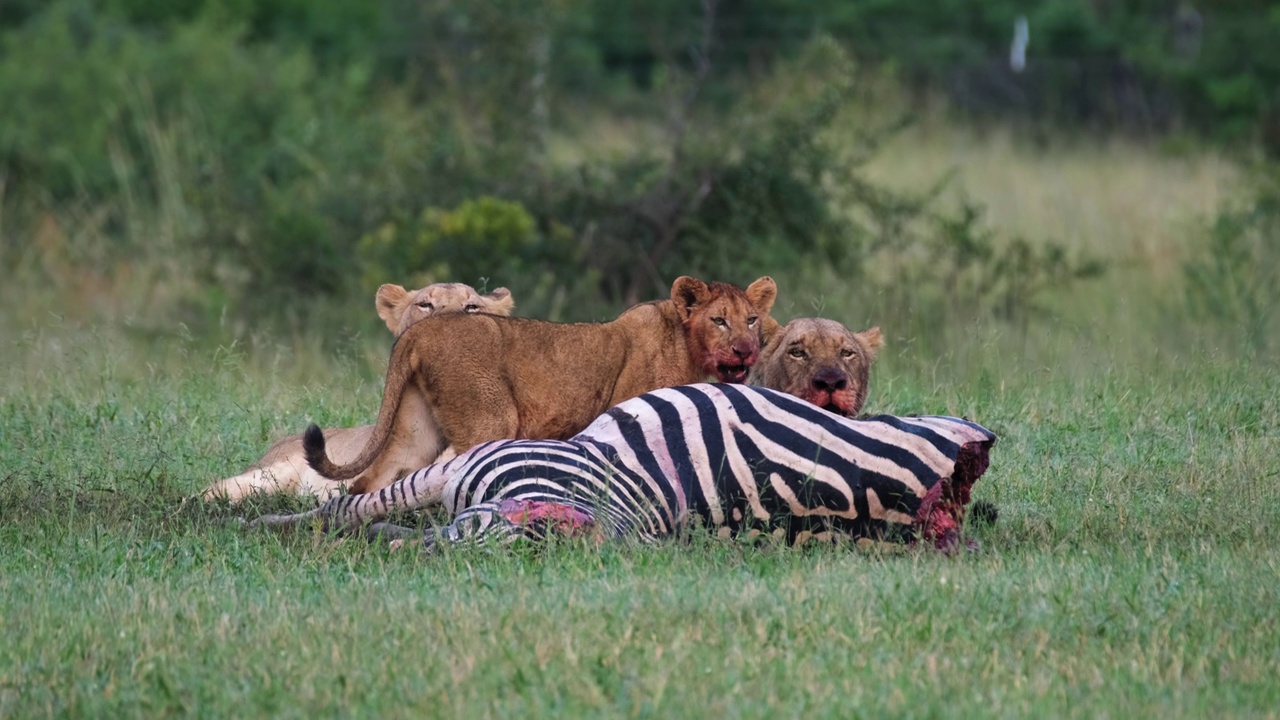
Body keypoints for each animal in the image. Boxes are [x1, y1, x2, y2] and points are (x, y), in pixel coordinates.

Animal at [307, 274, 778, 491]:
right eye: (719, 321)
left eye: (752, 320)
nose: (745, 350)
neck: (684, 341)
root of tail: (422, 330)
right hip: (489, 419)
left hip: (415, 430)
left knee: (370, 482)